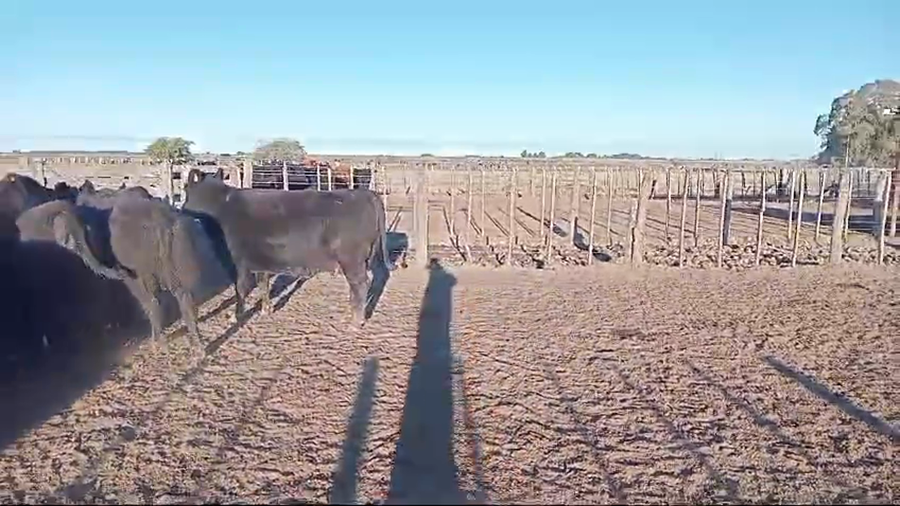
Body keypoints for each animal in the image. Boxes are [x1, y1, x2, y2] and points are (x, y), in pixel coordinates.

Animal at [108, 197, 205, 353]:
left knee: (153, 302)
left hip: (144, 273)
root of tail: (162, 226)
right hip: (179, 266)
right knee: (186, 299)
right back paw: (199, 346)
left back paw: (159, 343)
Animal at [182, 168, 394, 326]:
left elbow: (241, 289)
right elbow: (263, 284)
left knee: (360, 284)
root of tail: (364, 193)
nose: (182, 209)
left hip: (351, 259)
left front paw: (234, 316)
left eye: (186, 191)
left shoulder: (238, 262)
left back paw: (355, 322)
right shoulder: (260, 260)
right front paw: (266, 310)